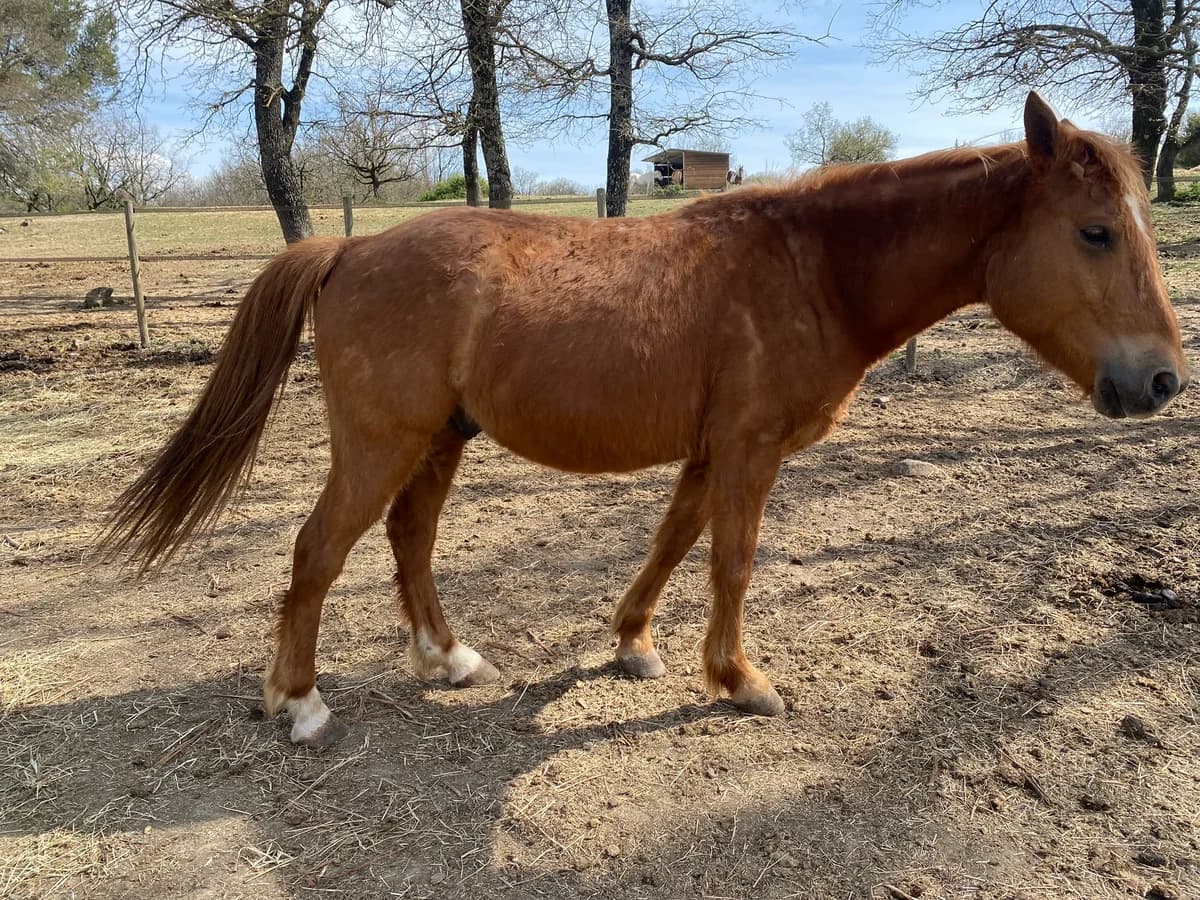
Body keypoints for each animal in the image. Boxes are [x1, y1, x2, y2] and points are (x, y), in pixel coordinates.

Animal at [102, 93, 1188, 747]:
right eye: (1095, 232)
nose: (1163, 381)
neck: (813, 269)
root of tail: (347, 251)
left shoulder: (713, 452)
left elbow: (672, 544)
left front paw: (632, 645)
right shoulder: (750, 452)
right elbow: (731, 561)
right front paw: (739, 677)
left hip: (440, 439)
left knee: (410, 540)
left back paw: (448, 659)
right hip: (380, 444)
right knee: (317, 551)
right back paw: (299, 699)